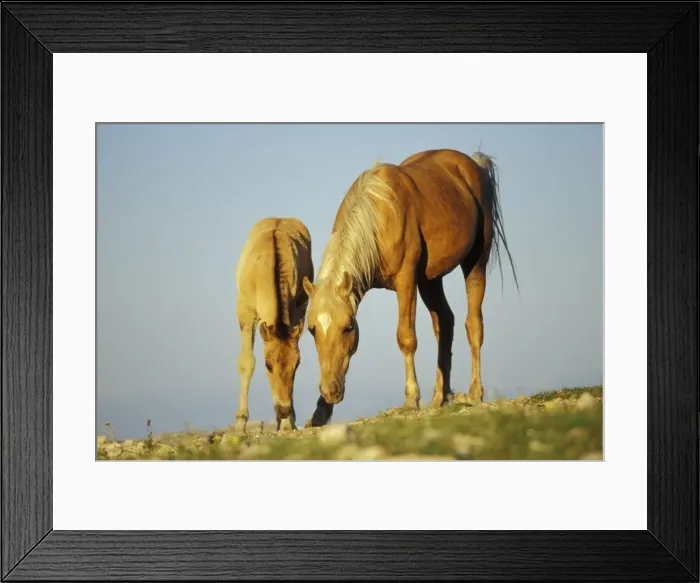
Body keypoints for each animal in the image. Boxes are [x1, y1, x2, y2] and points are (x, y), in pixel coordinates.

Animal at [235, 217, 314, 432]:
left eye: (297, 365)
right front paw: (240, 423)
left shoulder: (296, 309)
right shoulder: (245, 312)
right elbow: (246, 362)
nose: (284, 409)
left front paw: (287, 422)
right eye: (268, 365)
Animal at [302, 148, 518, 427]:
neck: (380, 215)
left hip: (475, 264)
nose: (330, 390)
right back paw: (439, 397)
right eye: (312, 330)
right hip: (430, 280)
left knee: (474, 325)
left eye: (347, 327)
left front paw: (411, 398)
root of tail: (474, 165)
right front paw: (319, 413)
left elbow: (406, 337)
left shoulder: (406, 280)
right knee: (445, 323)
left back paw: (475, 393)